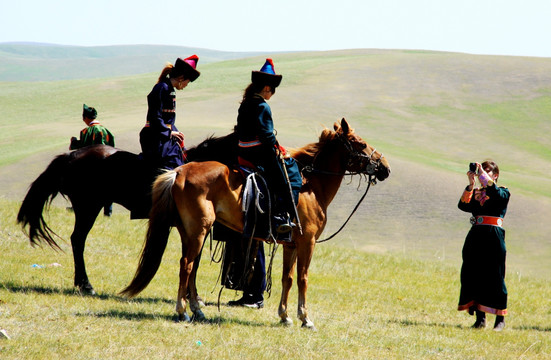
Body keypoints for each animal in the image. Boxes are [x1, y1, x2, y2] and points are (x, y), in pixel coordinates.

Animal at [121, 119, 390, 330]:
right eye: (360, 143)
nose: (385, 167)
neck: (312, 186)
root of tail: (179, 172)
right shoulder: (308, 242)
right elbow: (302, 278)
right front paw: (305, 318)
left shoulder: (290, 245)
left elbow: (287, 278)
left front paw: (284, 316)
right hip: (198, 231)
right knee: (186, 266)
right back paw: (183, 311)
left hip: (190, 232)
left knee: (192, 267)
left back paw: (197, 309)